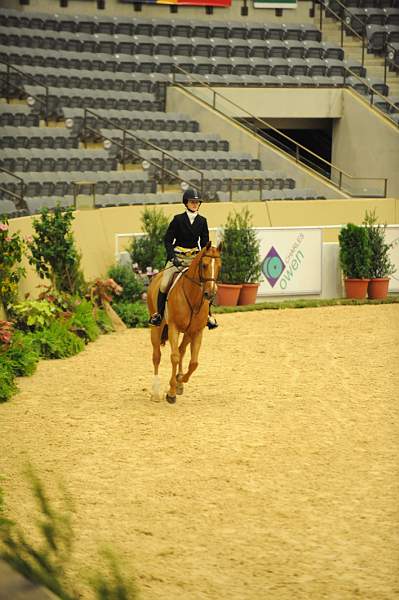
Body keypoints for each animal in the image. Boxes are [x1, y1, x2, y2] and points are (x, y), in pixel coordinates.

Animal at [147, 239, 222, 404]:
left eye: (219, 266)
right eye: (204, 265)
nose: (210, 293)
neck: (192, 297)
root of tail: (156, 277)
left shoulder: (197, 332)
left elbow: (193, 363)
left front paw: (179, 380)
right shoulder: (173, 328)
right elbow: (174, 357)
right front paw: (171, 393)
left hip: (187, 333)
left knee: (182, 350)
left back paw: (179, 382)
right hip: (157, 328)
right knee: (157, 356)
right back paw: (156, 391)